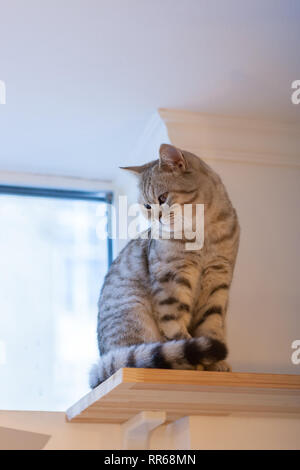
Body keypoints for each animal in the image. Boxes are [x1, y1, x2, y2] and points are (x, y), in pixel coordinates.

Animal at [89, 143, 239, 390]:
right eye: (147, 205)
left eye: (163, 197)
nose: (156, 218)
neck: (203, 235)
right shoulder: (170, 280)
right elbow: (175, 326)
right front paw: (198, 359)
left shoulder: (218, 281)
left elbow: (211, 324)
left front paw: (216, 364)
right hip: (134, 315)